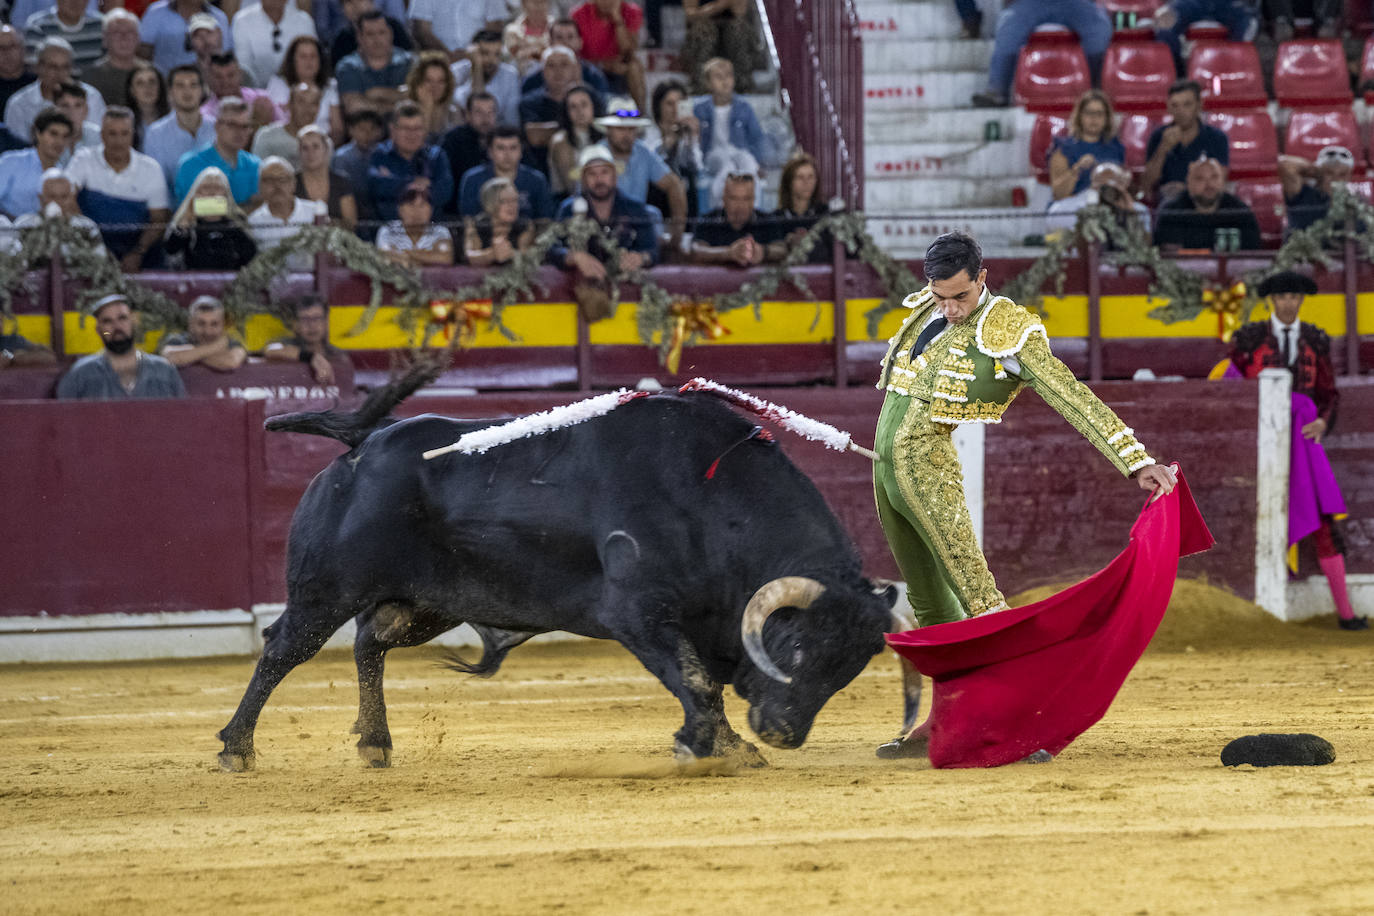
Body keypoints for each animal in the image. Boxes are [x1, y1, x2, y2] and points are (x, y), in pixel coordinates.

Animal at [214, 381, 901, 774]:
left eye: (848, 669)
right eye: (798, 644)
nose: (785, 733)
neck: (712, 503)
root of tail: (365, 443)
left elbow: (700, 680)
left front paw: (730, 746)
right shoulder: (637, 612)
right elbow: (698, 680)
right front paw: (707, 746)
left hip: (427, 603)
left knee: (368, 644)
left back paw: (375, 743)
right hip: (327, 589)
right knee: (283, 648)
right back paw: (237, 748)